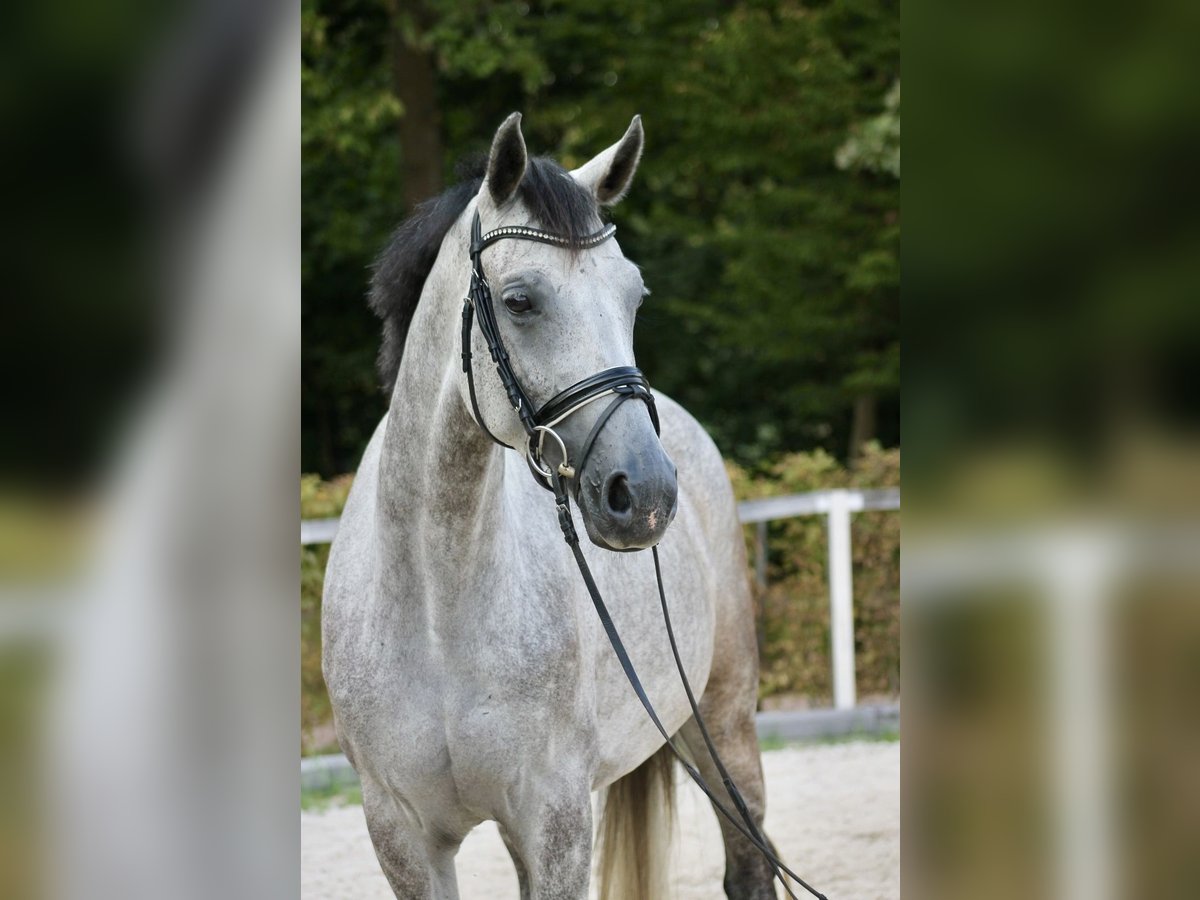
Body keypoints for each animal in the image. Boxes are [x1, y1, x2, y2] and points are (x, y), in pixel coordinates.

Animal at [321, 116, 777, 897]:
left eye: (635, 297)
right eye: (520, 301)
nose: (645, 494)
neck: (436, 606)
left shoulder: (555, 820)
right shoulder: (401, 836)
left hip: (721, 723)